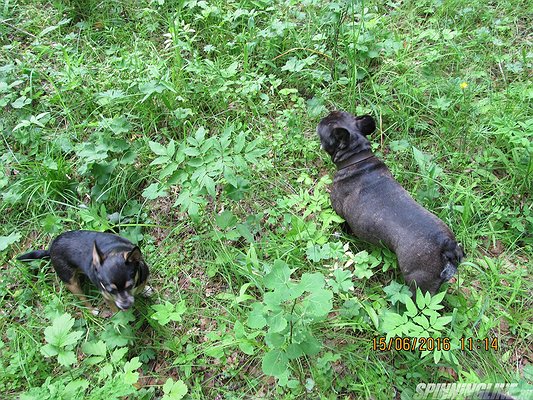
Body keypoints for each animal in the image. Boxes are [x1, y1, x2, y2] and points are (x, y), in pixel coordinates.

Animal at [17, 231, 149, 312]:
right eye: (110, 290)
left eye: (130, 286)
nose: (125, 306)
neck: (114, 251)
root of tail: (50, 249)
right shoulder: (107, 297)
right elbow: (115, 310)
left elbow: (142, 285)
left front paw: (145, 290)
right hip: (72, 284)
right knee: (82, 299)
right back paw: (92, 310)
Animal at [316, 111, 462, 296]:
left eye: (327, 124)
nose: (326, 115)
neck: (356, 159)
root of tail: (447, 245)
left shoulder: (340, 212)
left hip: (418, 282)